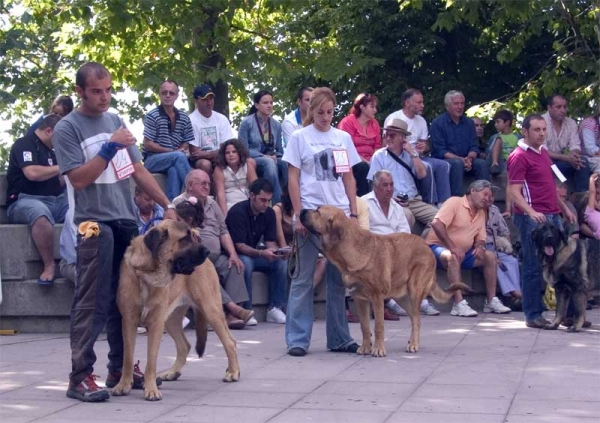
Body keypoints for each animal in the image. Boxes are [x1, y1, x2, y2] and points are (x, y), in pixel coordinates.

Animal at [110, 220, 239, 402]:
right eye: (184, 239)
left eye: (191, 236)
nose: (207, 251)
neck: (148, 271)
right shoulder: (129, 321)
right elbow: (127, 357)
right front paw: (123, 385)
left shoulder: (156, 323)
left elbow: (151, 360)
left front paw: (151, 389)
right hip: (170, 319)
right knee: (185, 345)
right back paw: (173, 372)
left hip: (210, 309)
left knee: (230, 341)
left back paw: (233, 372)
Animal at [300, 207, 468, 356]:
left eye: (317, 211)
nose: (301, 210)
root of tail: (427, 247)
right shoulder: (359, 298)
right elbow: (364, 326)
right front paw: (366, 348)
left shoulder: (376, 297)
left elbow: (378, 326)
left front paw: (378, 350)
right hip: (402, 297)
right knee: (414, 318)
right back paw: (412, 342)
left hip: (414, 292)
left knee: (417, 319)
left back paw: (413, 345)